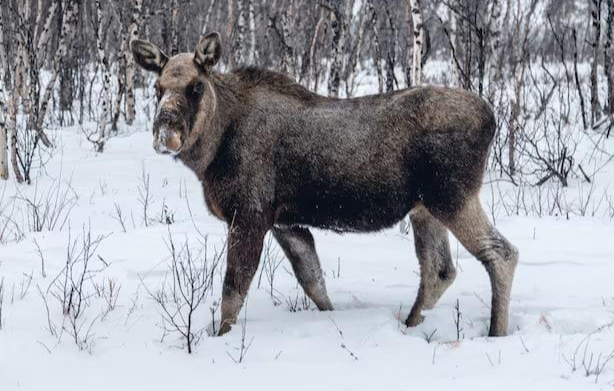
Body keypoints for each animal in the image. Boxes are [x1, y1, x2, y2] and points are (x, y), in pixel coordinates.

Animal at [131, 31, 520, 336]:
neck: (212, 152)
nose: (166, 134)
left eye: (196, 87)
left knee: (501, 254)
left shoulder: (250, 214)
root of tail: (491, 119)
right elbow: (315, 283)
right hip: (424, 209)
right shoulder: (286, 223)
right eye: (158, 87)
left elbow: (232, 293)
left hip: (452, 196)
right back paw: (410, 325)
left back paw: (495, 332)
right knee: (439, 270)